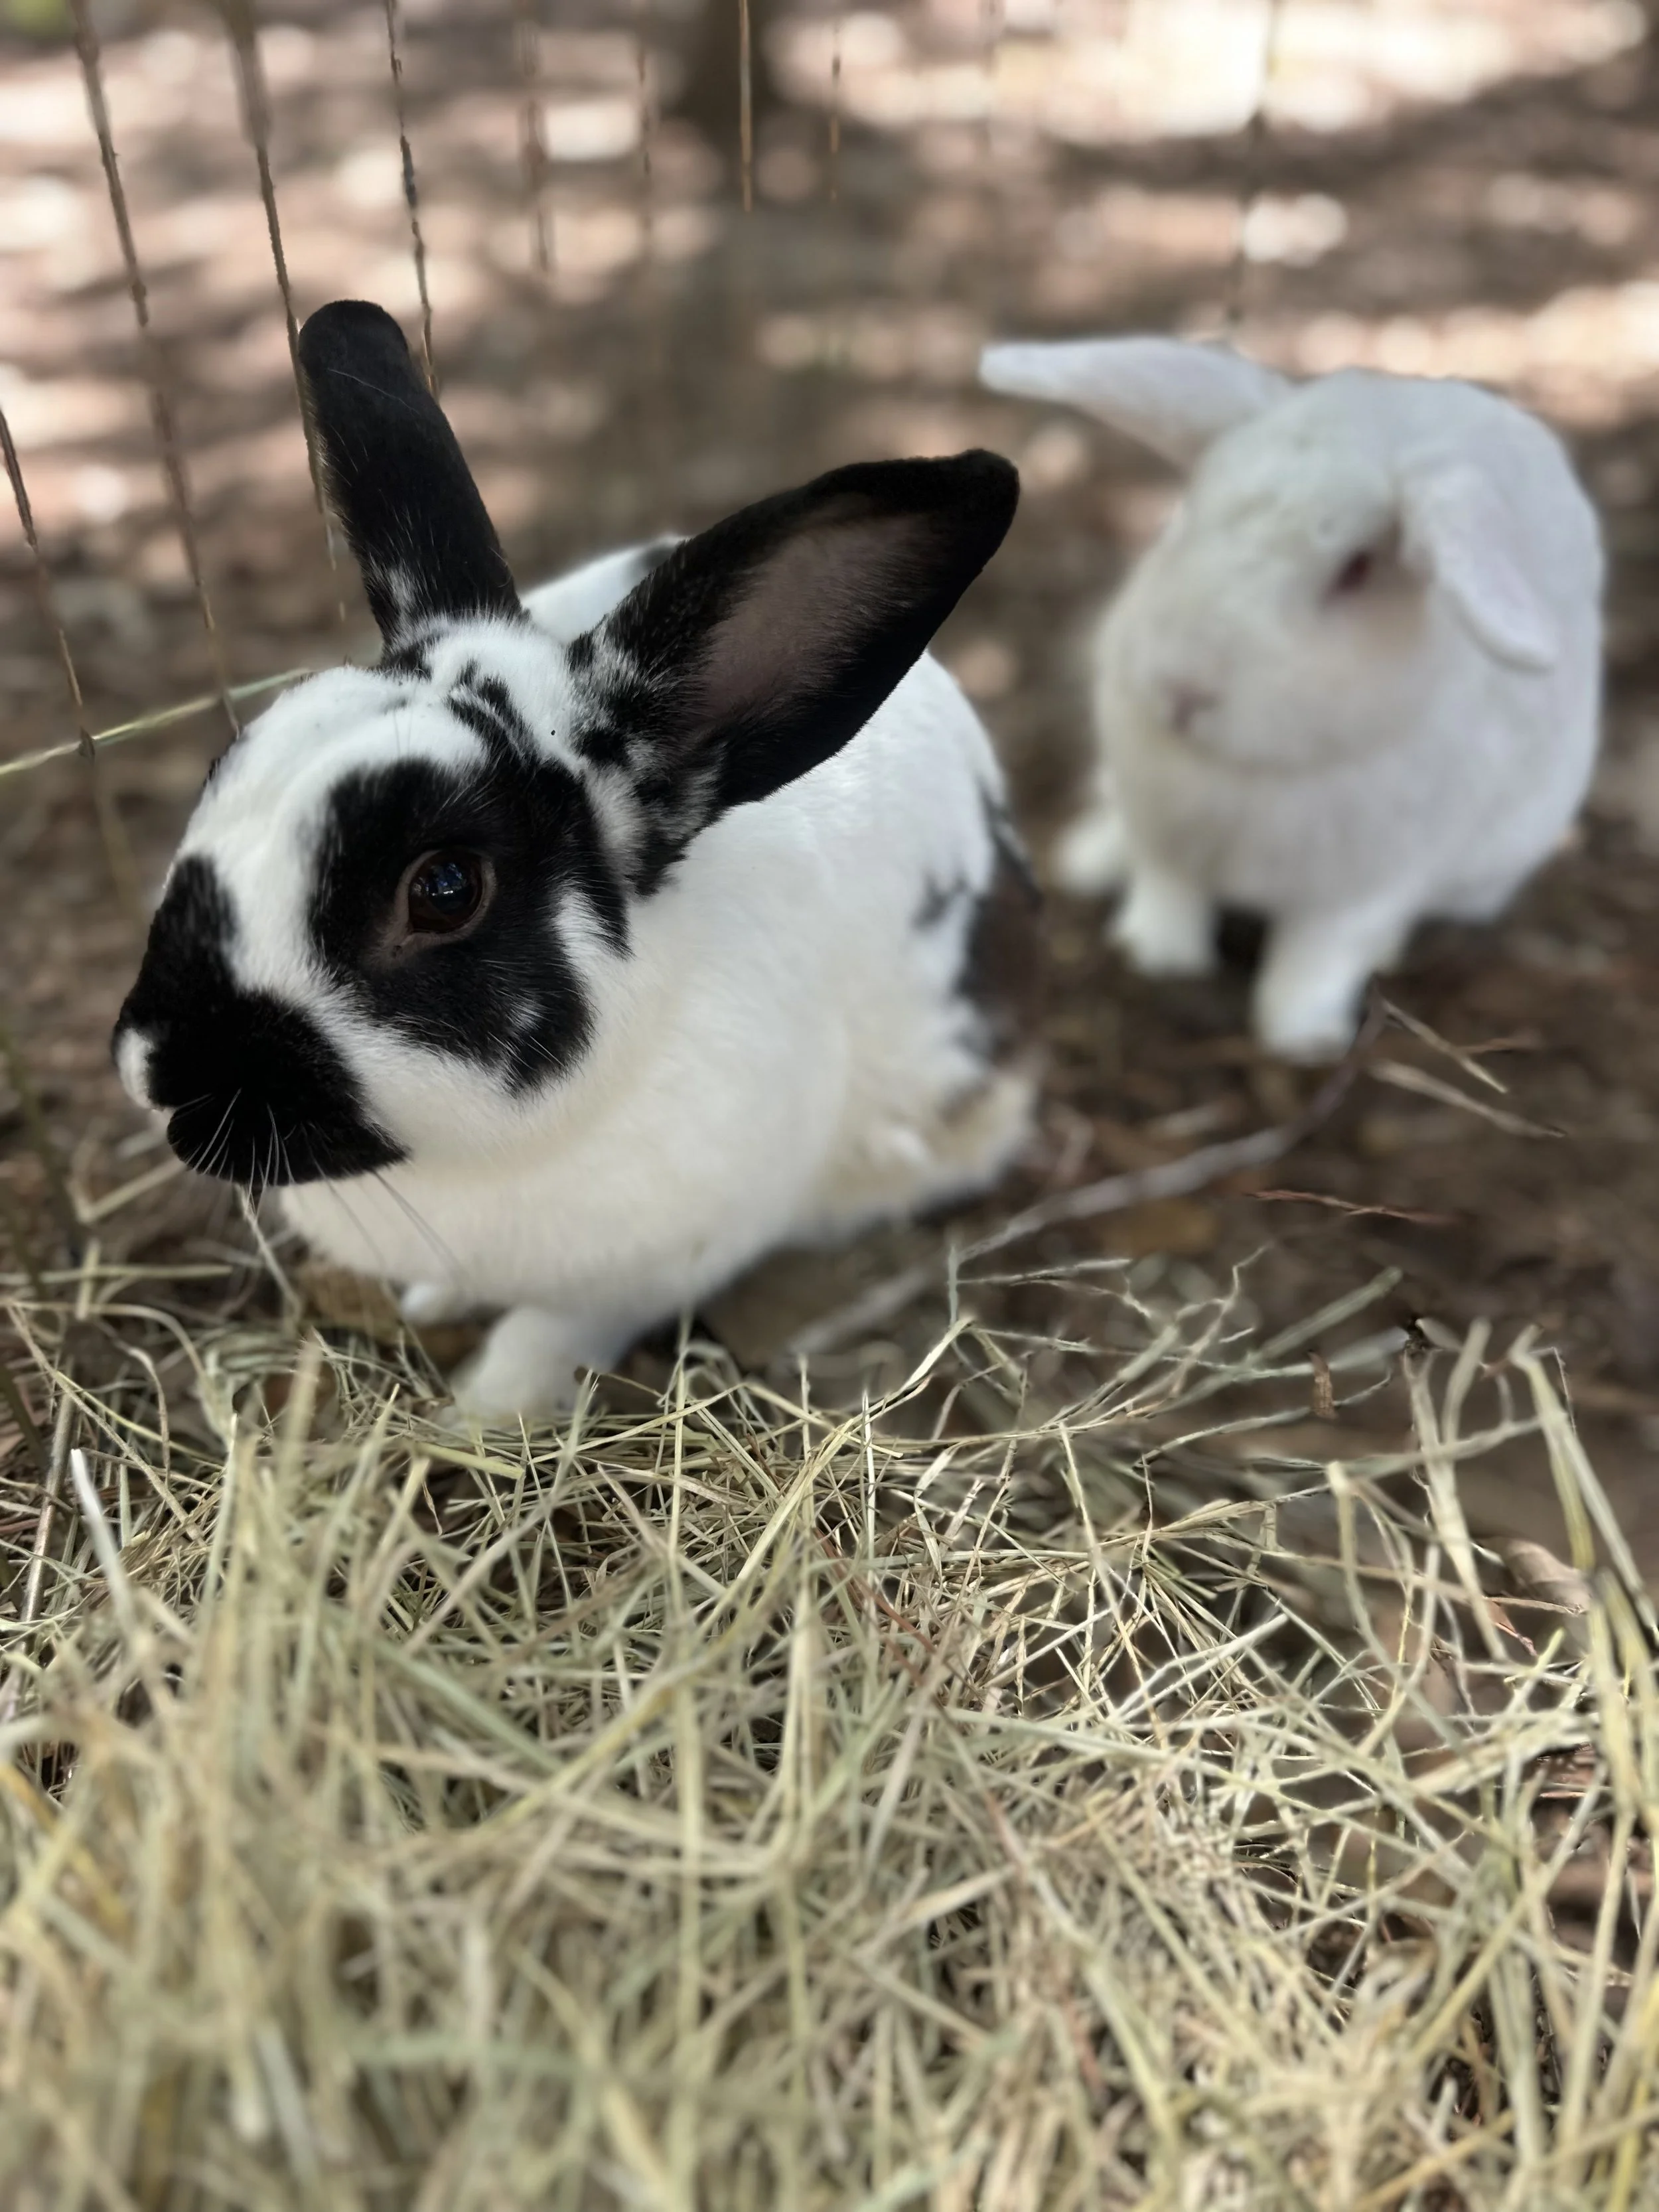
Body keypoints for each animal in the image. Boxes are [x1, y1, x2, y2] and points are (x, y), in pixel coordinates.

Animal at [113, 299, 1038, 1419]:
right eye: (223, 768)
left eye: (444, 889)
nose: (159, 1072)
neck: (477, 1161)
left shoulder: (649, 1267)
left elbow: (549, 1332)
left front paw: (481, 1412)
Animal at [979, 335, 1604, 1060]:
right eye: (1185, 516)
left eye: (1356, 570)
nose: (1182, 689)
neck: (1247, 771)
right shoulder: (1163, 831)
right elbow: (1167, 890)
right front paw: (1157, 957)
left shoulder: (1359, 889)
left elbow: (1316, 957)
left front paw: (1299, 1039)